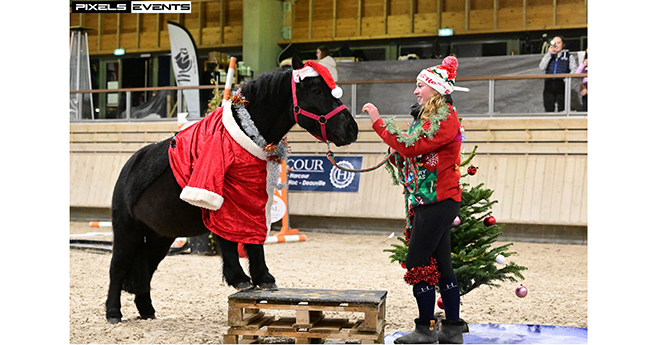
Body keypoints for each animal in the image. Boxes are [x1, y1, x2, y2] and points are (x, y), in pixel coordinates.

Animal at [105, 55, 358, 322]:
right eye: (317, 91)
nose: (351, 129)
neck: (245, 137)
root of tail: (128, 168)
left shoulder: (254, 199)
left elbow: (253, 239)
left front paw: (263, 278)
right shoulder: (221, 201)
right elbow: (228, 239)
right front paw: (240, 279)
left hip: (160, 237)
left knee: (146, 269)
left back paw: (147, 310)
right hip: (127, 231)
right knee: (117, 268)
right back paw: (113, 312)